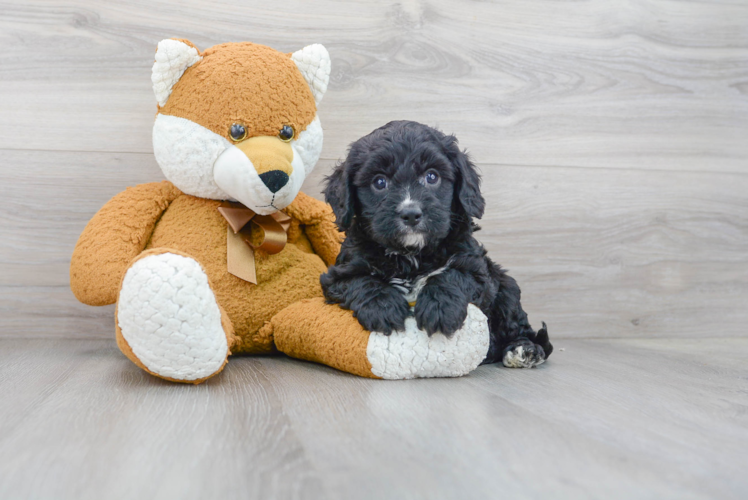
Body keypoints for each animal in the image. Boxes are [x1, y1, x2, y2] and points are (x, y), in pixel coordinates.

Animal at [318, 121, 552, 368]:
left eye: (432, 177)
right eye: (379, 182)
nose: (411, 214)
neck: (411, 255)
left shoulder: (478, 272)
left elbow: (454, 275)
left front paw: (439, 307)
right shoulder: (338, 275)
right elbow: (360, 280)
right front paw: (383, 307)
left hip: (506, 288)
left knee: (519, 324)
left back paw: (524, 349)